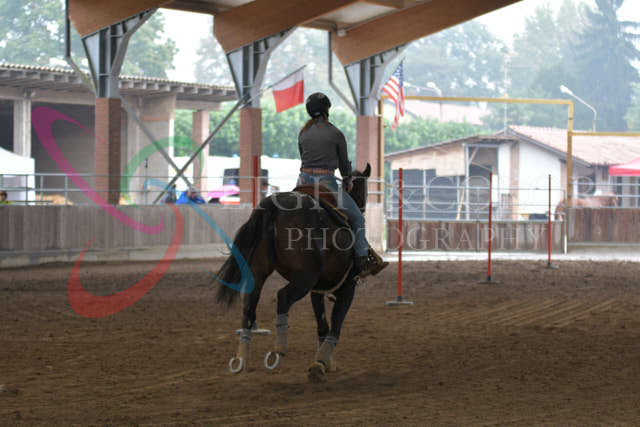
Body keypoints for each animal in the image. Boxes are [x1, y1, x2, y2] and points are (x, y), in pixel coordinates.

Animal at [215, 164, 371, 382]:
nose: (362, 208)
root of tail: (273, 208)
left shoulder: (318, 289)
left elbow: (322, 324)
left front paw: (324, 362)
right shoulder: (348, 286)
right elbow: (336, 325)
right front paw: (322, 362)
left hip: (258, 274)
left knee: (249, 306)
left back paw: (241, 359)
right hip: (304, 279)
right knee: (283, 296)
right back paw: (279, 348)